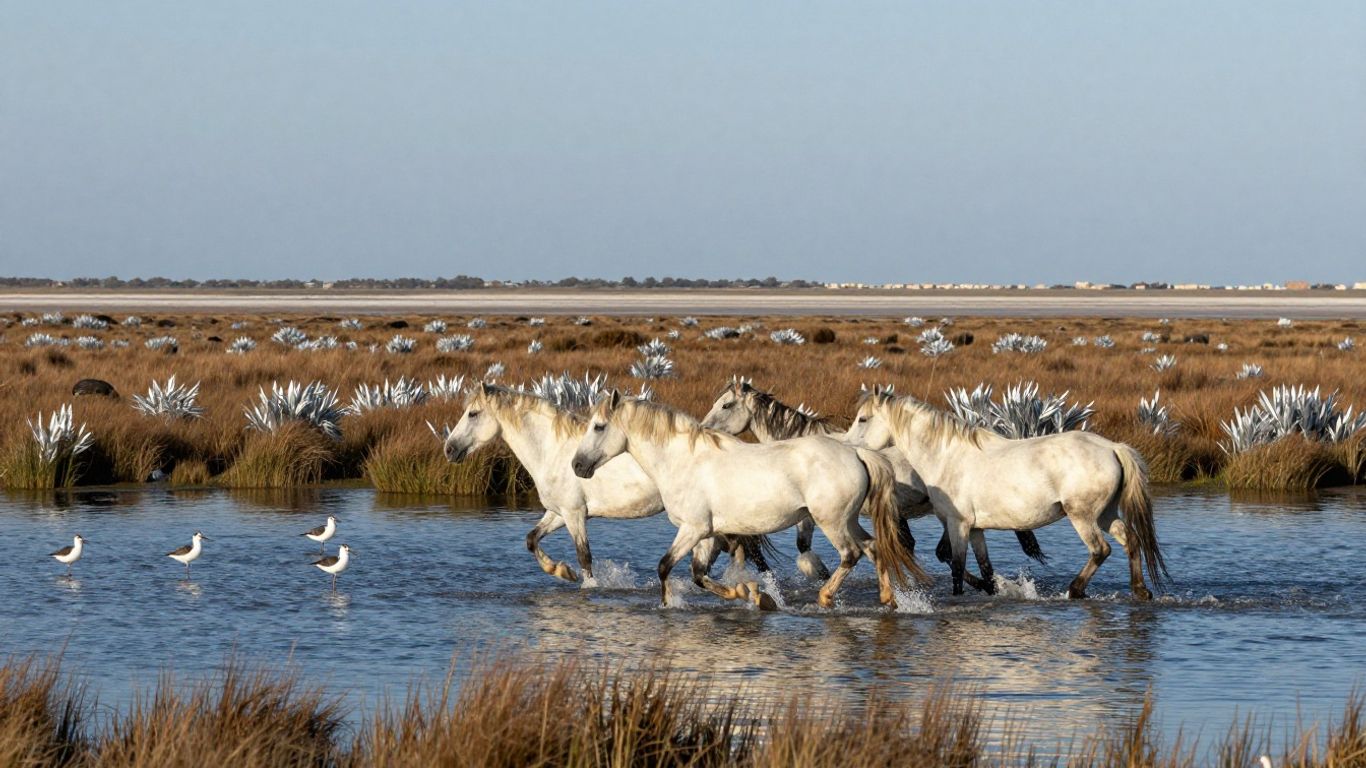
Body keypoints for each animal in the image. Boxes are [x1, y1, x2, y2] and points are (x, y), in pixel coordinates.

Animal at [443, 384, 770, 584]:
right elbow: (532, 539)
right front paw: (561, 571)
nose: (449, 449)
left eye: (472, 413)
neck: (552, 450)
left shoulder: (574, 514)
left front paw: (582, 582)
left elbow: (584, 556)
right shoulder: (558, 513)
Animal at [571, 391, 926, 609]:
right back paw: (888, 598)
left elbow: (665, 567)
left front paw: (670, 603)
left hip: (832, 521)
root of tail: (856, 452)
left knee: (851, 554)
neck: (684, 460)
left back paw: (825, 597)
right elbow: (699, 575)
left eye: (599, 426)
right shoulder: (707, 534)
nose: (577, 465)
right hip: (848, 520)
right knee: (873, 547)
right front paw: (751, 594)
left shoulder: (692, 529)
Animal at [844, 387, 1168, 600]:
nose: (848, 449)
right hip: (1105, 514)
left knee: (1100, 550)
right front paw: (992, 590)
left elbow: (957, 568)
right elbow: (985, 568)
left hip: (1083, 516)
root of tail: (1113, 447)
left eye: (863, 419)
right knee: (1131, 541)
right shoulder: (976, 529)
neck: (947, 456)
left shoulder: (958, 525)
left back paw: (1075, 590)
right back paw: (1141, 591)